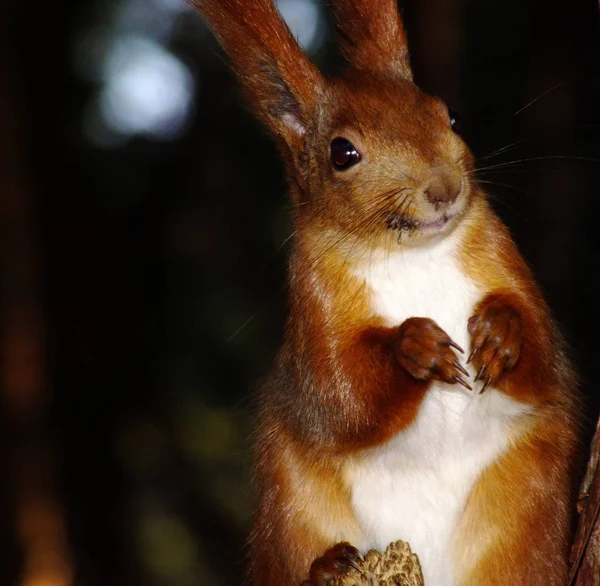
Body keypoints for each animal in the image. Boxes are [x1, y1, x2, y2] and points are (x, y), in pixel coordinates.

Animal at [189, 1, 580, 584]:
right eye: (342, 153)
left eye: (450, 116)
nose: (444, 189)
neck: (413, 255)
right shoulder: (314, 312)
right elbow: (342, 395)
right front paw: (413, 347)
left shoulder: (505, 258)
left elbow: (543, 354)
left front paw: (501, 331)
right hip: (289, 507)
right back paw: (326, 565)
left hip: (526, 509)